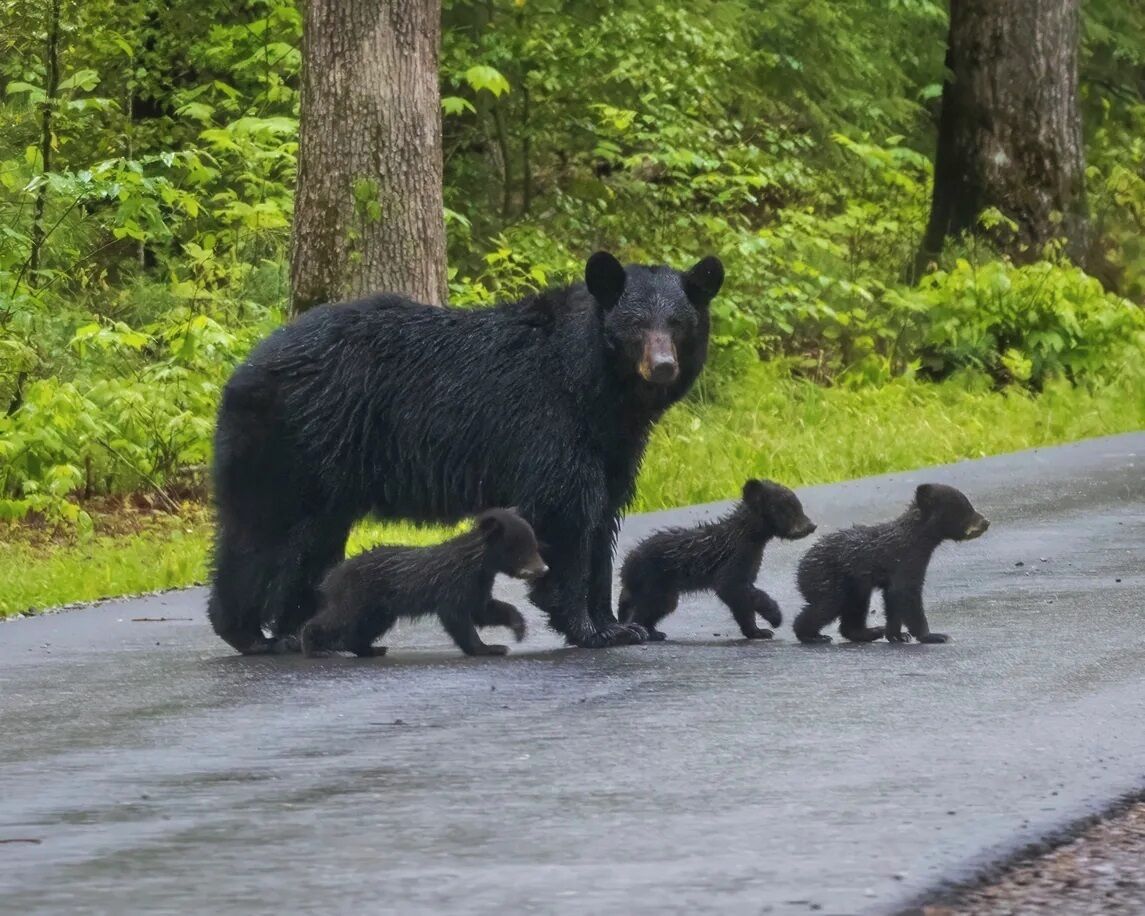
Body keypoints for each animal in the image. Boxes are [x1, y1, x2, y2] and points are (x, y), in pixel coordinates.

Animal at [300, 508, 548, 658]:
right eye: (523, 549)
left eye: (535, 545)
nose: (543, 569)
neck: (476, 562)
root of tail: (331, 576)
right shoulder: (453, 583)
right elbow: (457, 617)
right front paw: (487, 647)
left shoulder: (479, 584)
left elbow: (483, 610)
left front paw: (518, 628)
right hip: (358, 595)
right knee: (338, 618)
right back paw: (312, 645)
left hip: (380, 607)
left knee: (366, 626)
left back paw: (371, 648)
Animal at [618, 479, 817, 641]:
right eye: (787, 508)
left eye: (798, 506)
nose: (811, 526)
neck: (748, 535)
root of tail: (626, 566)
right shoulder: (735, 558)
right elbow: (730, 587)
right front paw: (773, 618)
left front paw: (756, 631)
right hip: (654, 581)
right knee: (648, 606)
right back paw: (642, 631)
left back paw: (653, 631)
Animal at [792, 483, 989, 645]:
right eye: (966, 508)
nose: (986, 522)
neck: (916, 539)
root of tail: (801, 567)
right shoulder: (906, 560)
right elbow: (905, 592)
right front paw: (933, 635)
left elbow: (893, 598)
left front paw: (897, 635)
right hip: (826, 577)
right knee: (827, 604)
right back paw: (811, 635)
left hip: (854, 585)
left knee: (854, 607)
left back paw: (869, 632)